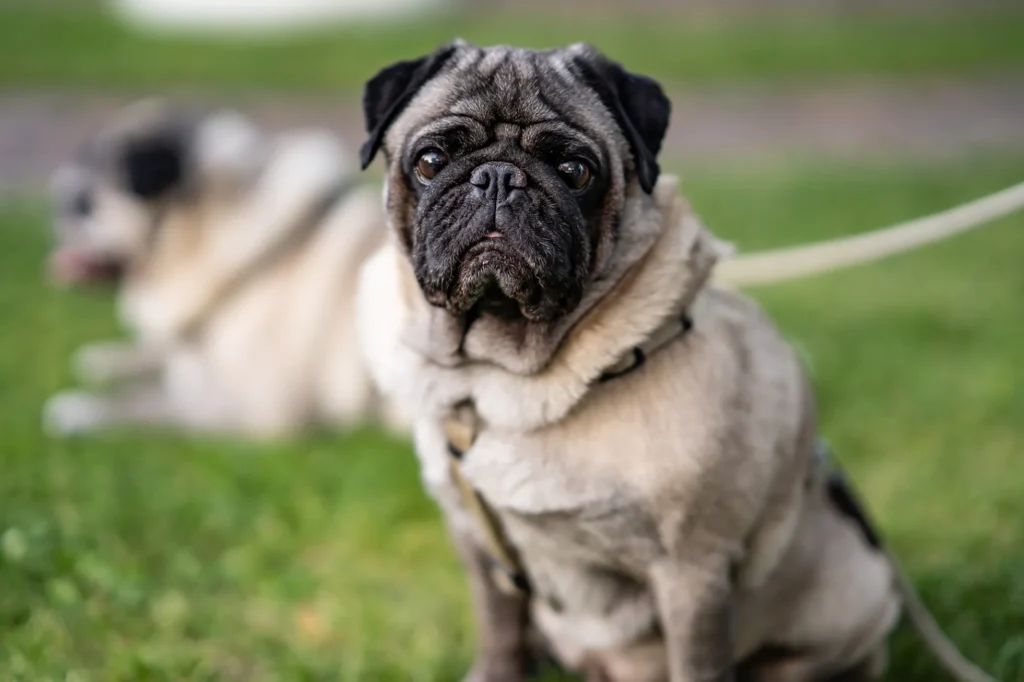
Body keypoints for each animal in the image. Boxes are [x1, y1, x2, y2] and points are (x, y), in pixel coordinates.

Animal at [45, 99, 407, 440]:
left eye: (83, 206)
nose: (58, 210)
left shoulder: (257, 405)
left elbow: (154, 404)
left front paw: (82, 409)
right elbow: (159, 361)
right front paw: (109, 359)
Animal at [356, 41, 995, 679]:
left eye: (576, 171)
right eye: (431, 161)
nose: (498, 178)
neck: (508, 378)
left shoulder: (691, 573)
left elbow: (699, 665)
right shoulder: (479, 546)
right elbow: (500, 633)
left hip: (856, 588)